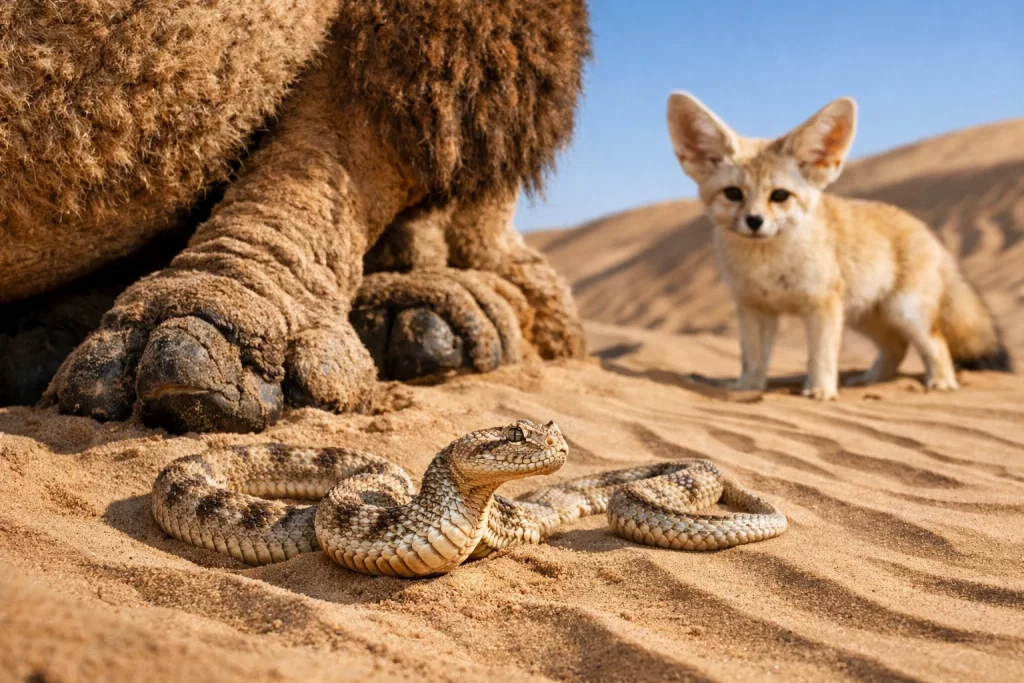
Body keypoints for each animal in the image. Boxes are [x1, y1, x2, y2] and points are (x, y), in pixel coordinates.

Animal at [665, 92, 1012, 400]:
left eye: (779, 195)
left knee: (937, 344)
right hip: (865, 317)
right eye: (733, 193)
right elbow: (753, 359)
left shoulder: (821, 306)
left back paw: (941, 382)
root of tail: (925, 228)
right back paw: (869, 381)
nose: (754, 221)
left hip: (904, 313)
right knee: (896, 347)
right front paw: (746, 388)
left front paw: (820, 390)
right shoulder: (755, 309)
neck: (767, 265)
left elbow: (820, 355)